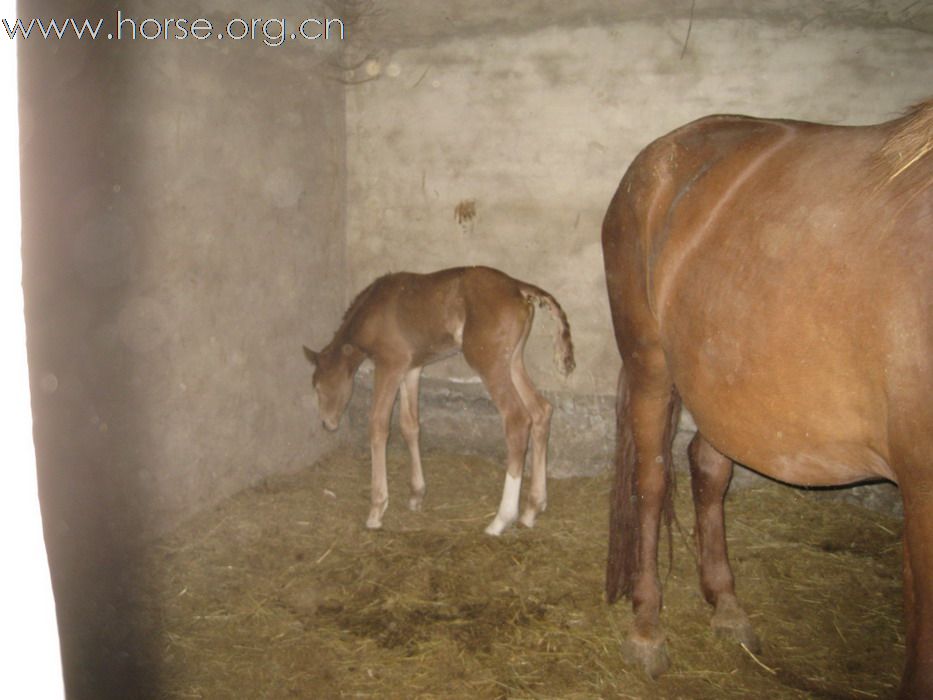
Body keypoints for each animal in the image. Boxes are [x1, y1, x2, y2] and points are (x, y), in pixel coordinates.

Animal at [600, 100, 928, 700]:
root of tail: (657, 155)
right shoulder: (922, 488)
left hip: (724, 381)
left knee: (707, 467)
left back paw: (726, 605)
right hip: (650, 365)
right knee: (652, 482)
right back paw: (647, 628)